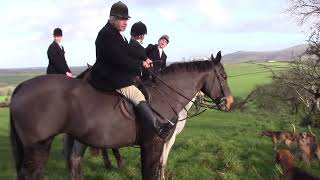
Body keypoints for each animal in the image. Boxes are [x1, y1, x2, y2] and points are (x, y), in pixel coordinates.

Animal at [9, 51, 232, 179]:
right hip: (38, 146)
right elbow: (151, 171)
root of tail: (21, 87)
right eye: (223, 76)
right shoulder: (154, 143)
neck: (165, 95)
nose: (229, 102)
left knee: (74, 163)